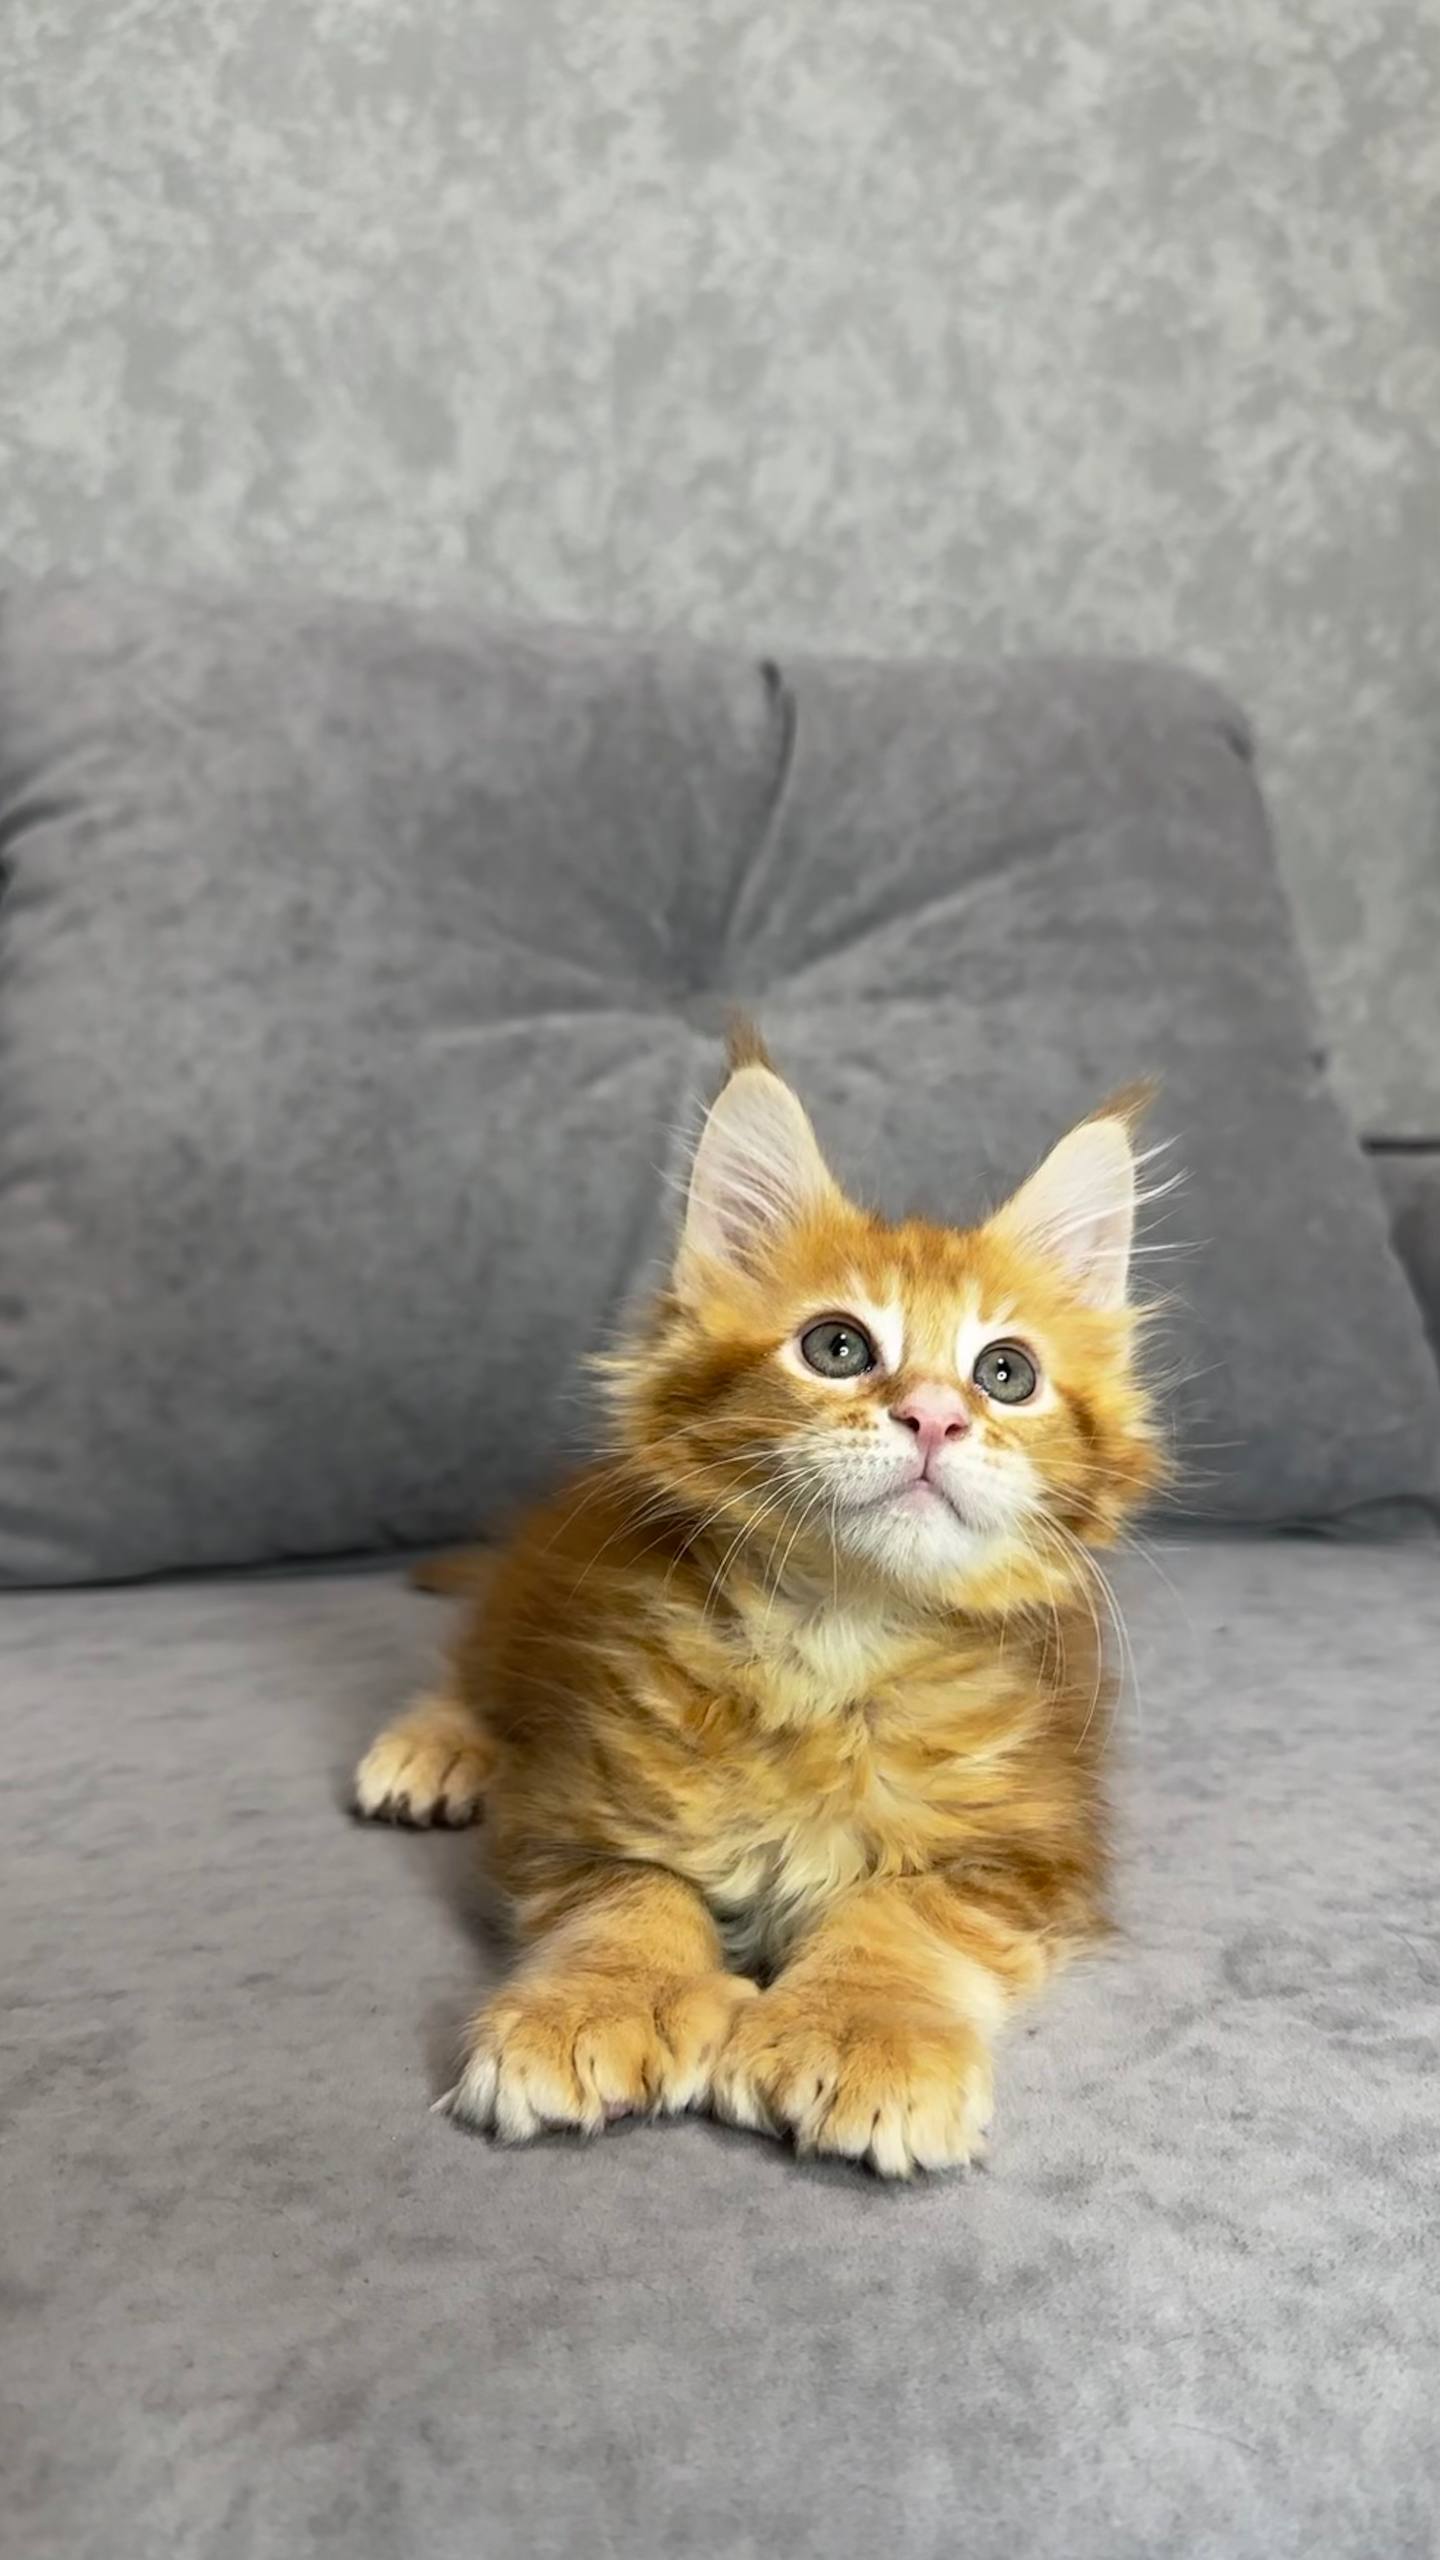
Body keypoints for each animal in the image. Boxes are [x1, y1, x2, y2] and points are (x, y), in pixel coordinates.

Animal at [353, 1030, 1161, 2176]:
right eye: (837, 1347)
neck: (837, 1637)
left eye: (1006, 1372)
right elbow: (632, 1893)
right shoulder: (575, 1799)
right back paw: (434, 1748)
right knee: (474, 1668)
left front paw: (864, 2031)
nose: (935, 1417)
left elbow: (906, 1911)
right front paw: (595, 2004)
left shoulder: (1032, 1850)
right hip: (533, 1599)